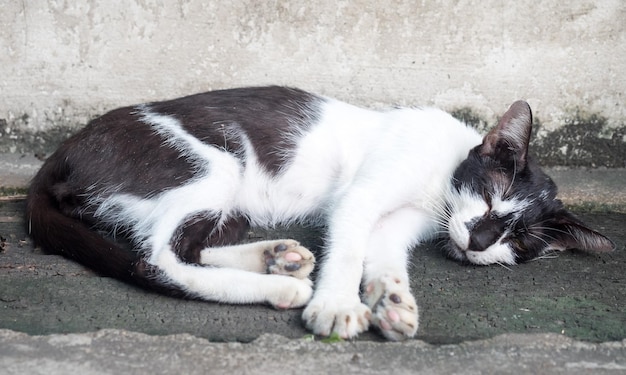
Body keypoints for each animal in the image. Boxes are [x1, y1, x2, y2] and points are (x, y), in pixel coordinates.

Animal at [26, 86, 612, 342]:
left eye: (519, 242)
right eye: (491, 197)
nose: (481, 241)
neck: (439, 188)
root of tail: (64, 150)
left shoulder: (407, 223)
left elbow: (384, 257)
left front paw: (392, 301)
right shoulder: (365, 195)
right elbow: (350, 247)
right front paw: (337, 306)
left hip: (231, 201)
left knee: (193, 243)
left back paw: (278, 259)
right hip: (213, 163)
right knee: (155, 258)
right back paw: (283, 287)